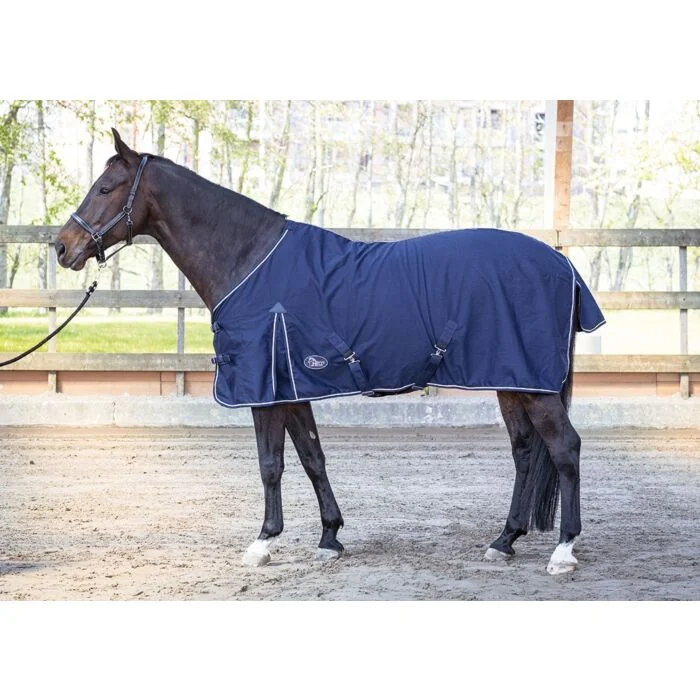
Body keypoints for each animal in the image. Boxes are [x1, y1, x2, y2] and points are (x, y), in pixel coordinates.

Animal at [55, 129, 605, 576]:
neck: (247, 259)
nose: (62, 247)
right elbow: (312, 457)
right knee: (526, 451)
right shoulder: (292, 387)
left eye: (105, 188)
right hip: (512, 381)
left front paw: (262, 543)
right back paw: (504, 540)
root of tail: (561, 263)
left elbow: (271, 464)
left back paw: (563, 551)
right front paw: (329, 537)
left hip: (533, 387)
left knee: (565, 448)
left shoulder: (264, 390)